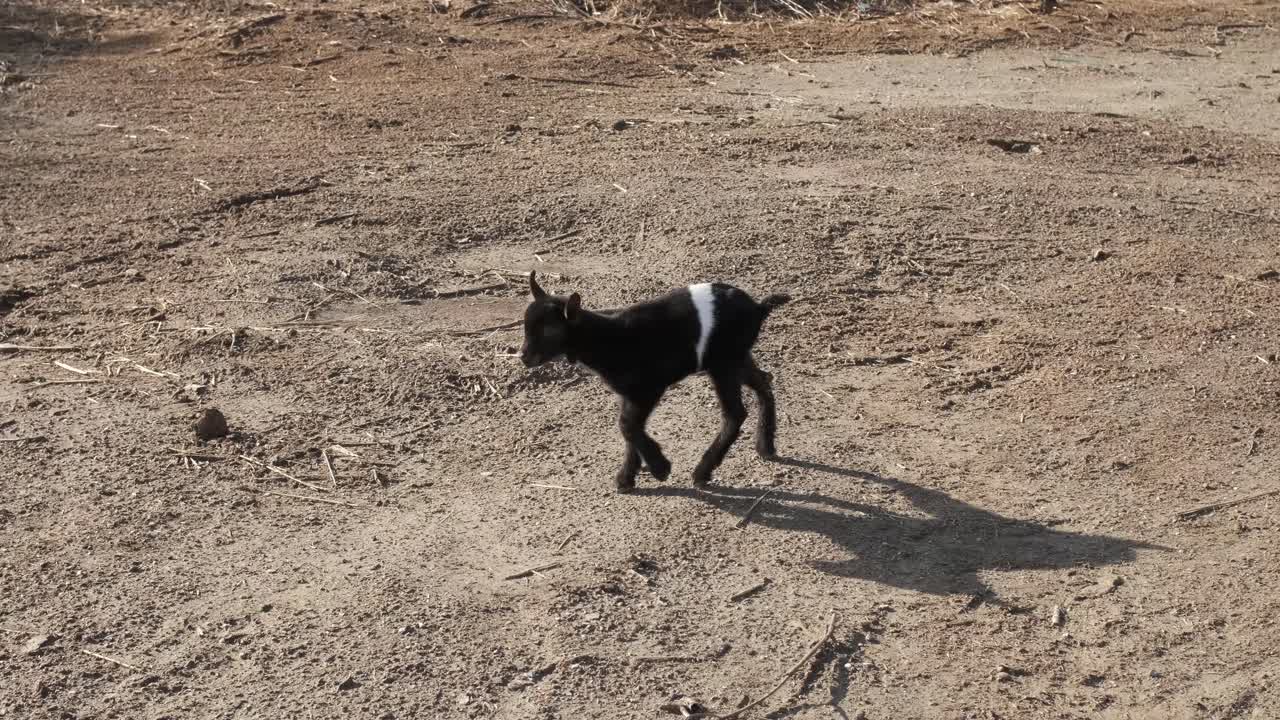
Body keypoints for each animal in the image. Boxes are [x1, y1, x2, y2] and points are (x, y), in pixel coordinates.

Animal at [520, 271, 791, 493]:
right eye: (525, 326)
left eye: (549, 331)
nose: (524, 356)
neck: (607, 338)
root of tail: (758, 308)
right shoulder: (629, 394)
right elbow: (630, 428)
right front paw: (627, 478)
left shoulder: (648, 387)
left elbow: (627, 425)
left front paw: (660, 468)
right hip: (737, 356)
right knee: (764, 382)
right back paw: (765, 446)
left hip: (723, 362)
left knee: (735, 413)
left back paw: (702, 471)